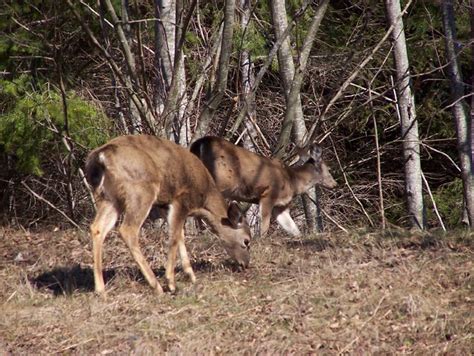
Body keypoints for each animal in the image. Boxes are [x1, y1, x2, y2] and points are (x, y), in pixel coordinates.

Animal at [84, 135, 252, 294]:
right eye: (246, 241)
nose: (245, 264)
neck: (203, 199)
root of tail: (100, 156)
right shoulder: (181, 199)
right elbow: (174, 238)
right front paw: (171, 282)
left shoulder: (165, 206)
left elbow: (180, 235)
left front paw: (191, 276)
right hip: (141, 191)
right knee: (127, 230)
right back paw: (156, 286)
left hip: (109, 198)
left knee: (97, 228)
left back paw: (100, 289)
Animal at [190, 136, 336, 236]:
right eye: (328, 169)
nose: (335, 184)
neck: (292, 181)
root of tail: (200, 144)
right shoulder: (268, 195)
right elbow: (264, 225)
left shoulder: (280, 206)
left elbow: (293, 228)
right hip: (219, 179)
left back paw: (201, 233)